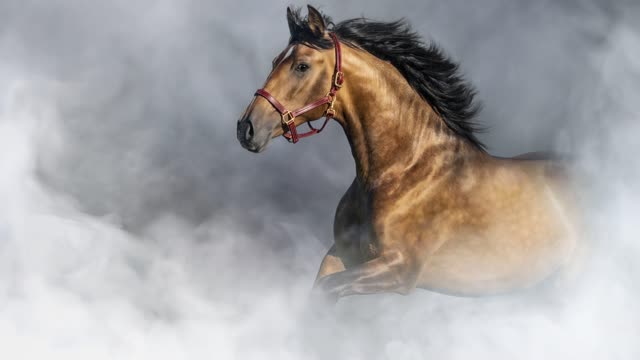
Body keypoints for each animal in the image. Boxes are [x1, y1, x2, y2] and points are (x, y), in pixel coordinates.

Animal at [238, 7, 584, 302]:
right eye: (275, 61)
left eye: (302, 66)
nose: (246, 128)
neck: (402, 170)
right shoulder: (342, 254)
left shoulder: (399, 268)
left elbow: (327, 290)